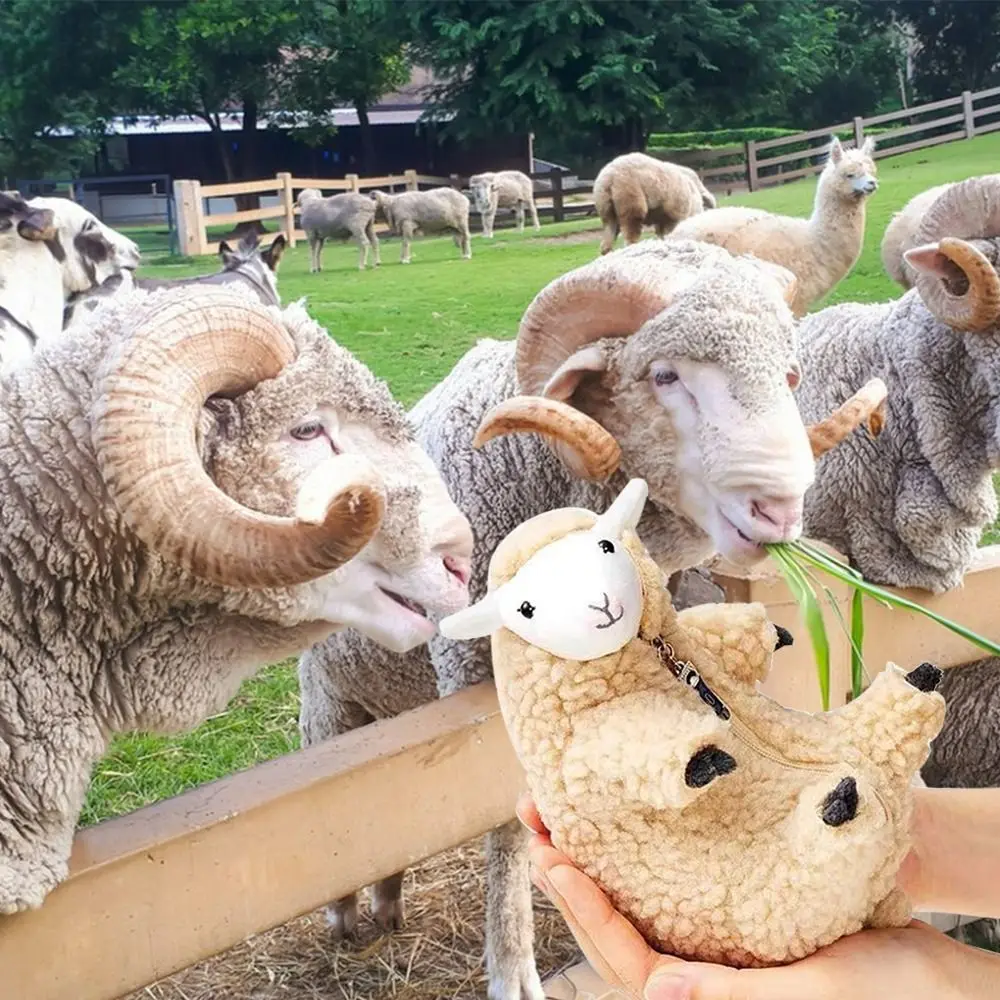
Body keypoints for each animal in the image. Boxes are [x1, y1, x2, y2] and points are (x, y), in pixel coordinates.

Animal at [297, 239, 880, 998]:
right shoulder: (477, 685)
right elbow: (505, 830)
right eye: (664, 375)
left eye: (788, 375)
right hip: (329, 704)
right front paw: (512, 970)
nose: (779, 510)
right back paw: (344, 914)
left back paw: (388, 902)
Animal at [671, 137, 879, 318]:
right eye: (849, 174)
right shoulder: (797, 298)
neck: (814, 241)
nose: (872, 184)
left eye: (871, 171)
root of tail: (676, 232)